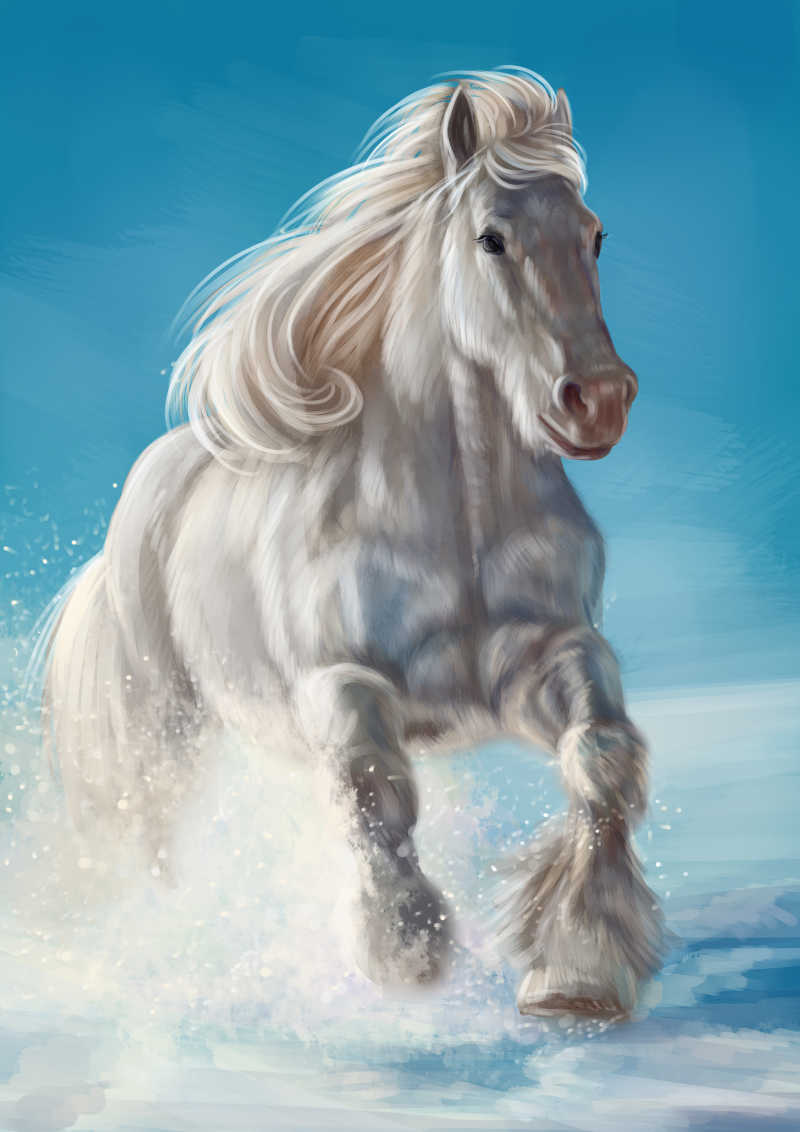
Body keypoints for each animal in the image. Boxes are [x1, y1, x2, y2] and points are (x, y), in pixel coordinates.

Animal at [36, 67, 666, 1019]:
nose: (597, 399)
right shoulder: (342, 683)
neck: (456, 523)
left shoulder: (541, 659)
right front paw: (408, 951)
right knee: (154, 846)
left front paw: (578, 970)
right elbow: (375, 790)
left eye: (594, 236)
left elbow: (601, 757)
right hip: (164, 734)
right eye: (492, 238)